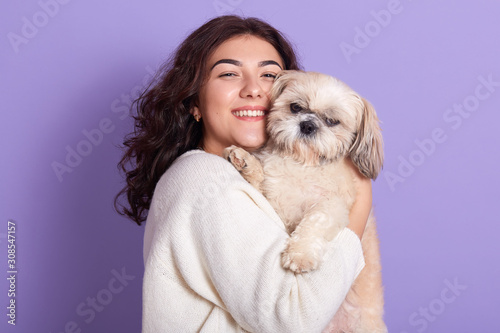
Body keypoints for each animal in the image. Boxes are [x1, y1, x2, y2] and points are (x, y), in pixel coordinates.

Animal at [226, 70, 386, 332]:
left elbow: (315, 220)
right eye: (296, 107)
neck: (301, 163)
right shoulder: (273, 201)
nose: (308, 125)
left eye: (331, 121)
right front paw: (245, 161)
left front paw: (299, 255)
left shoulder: (333, 206)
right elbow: (259, 183)